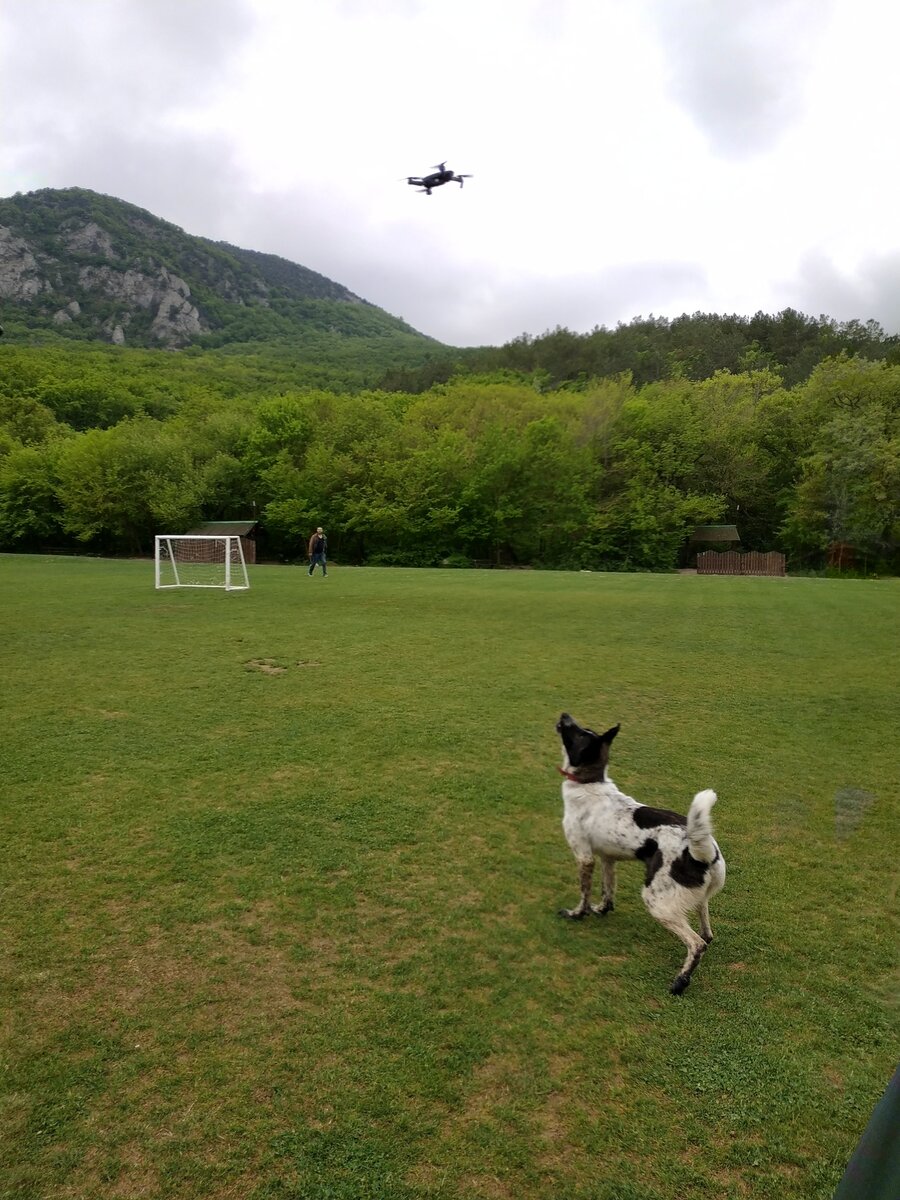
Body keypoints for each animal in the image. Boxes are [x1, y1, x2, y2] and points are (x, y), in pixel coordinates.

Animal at [556, 710, 724, 993]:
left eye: (578, 734)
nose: (564, 714)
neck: (590, 782)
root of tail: (702, 851)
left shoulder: (585, 857)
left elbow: (584, 893)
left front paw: (577, 914)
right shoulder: (607, 858)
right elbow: (607, 890)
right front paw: (602, 910)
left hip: (657, 902)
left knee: (696, 944)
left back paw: (680, 982)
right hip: (697, 896)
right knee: (707, 931)